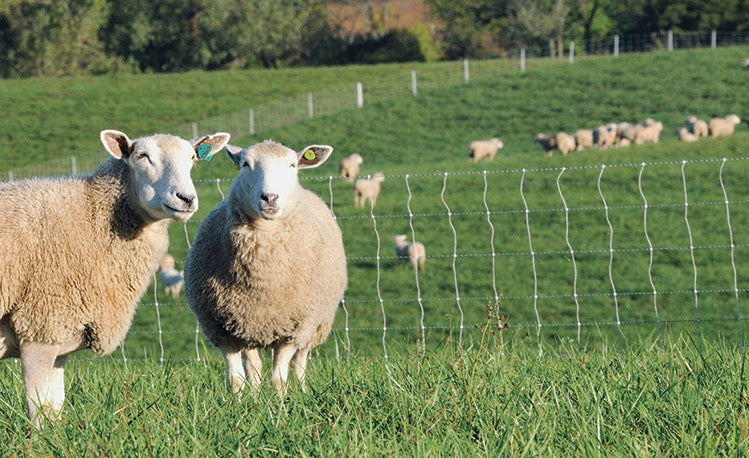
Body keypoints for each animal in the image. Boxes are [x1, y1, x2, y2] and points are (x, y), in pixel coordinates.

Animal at [0, 129, 229, 427]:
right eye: (142, 156)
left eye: (192, 157)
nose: (186, 198)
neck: (91, 215)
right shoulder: (40, 327)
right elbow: (40, 410)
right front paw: (40, 439)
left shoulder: (61, 338)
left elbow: (56, 408)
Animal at [184, 140, 347, 395]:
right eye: (245, 164)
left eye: (292, 165)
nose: (270, 198)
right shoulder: (222, 329)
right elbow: (237, 379)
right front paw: (243, 402)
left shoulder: (293, 330)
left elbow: (279, 377)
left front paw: (279, 402)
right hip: (247, 327)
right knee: (254, 365)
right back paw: (255, 393)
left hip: (314, 325)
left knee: (299, 362)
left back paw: (301, 390)